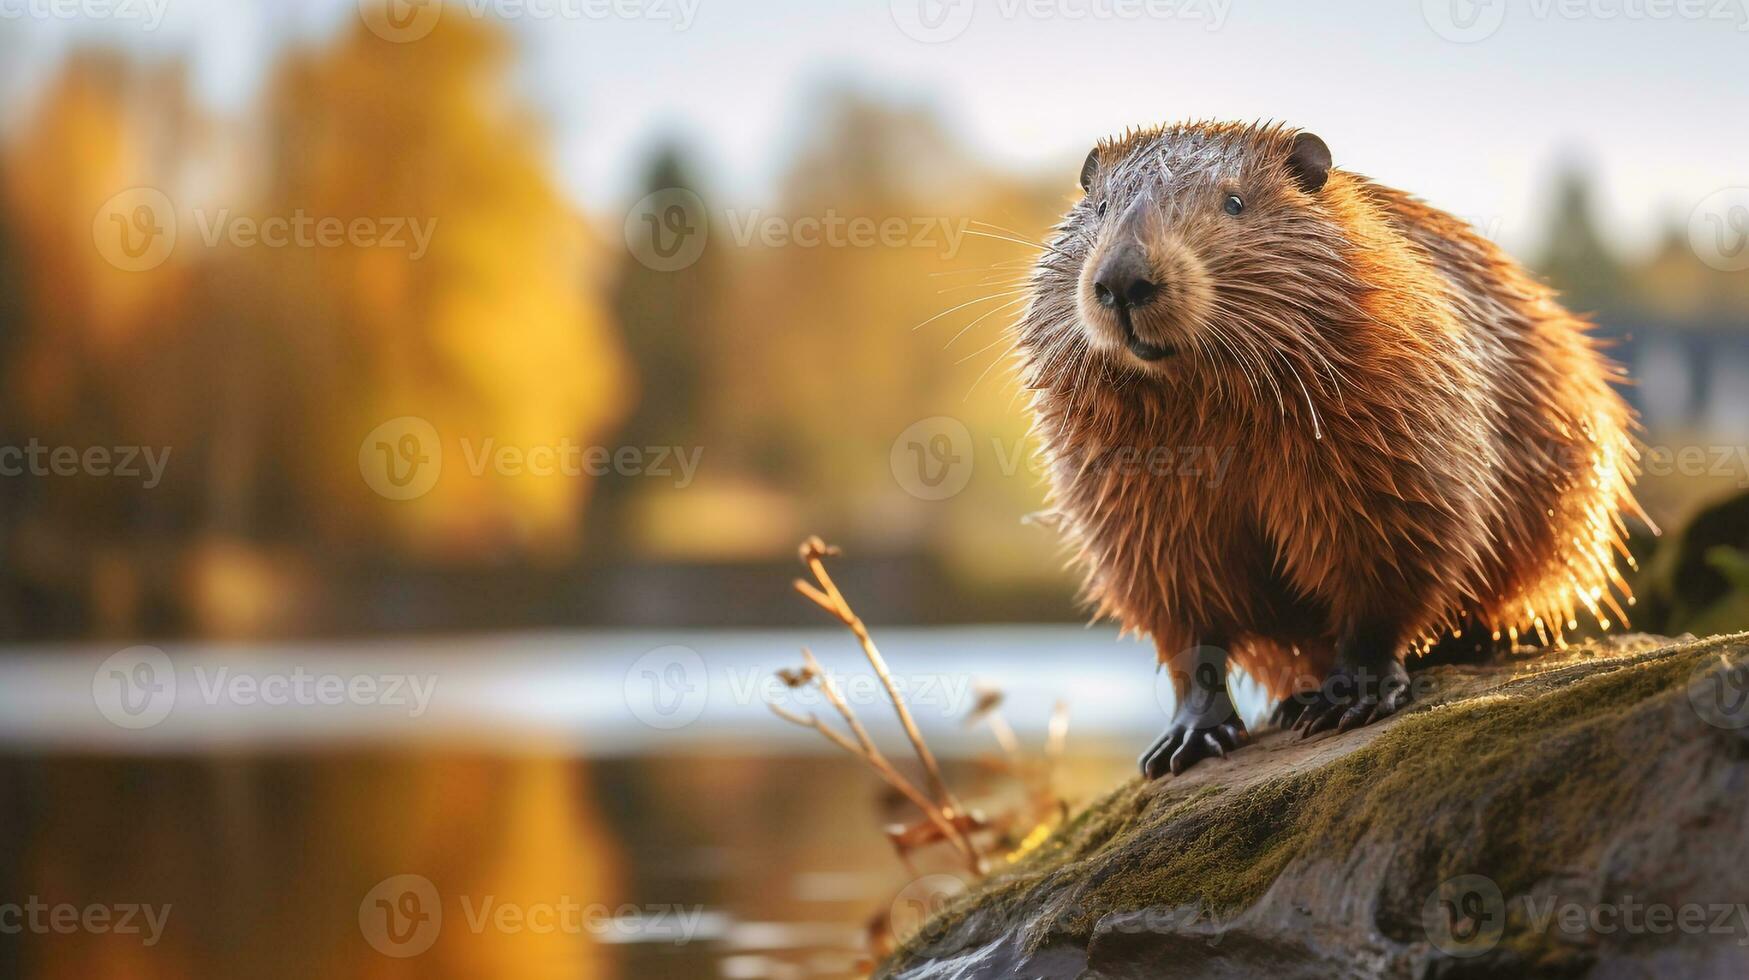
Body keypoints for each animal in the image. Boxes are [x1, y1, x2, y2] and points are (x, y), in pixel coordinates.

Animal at [1021, 122, 1644, 777]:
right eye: (1099, 207)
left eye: (1234, 201)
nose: (1122, 281)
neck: (1205, 400)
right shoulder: (1134, 503)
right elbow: (1182, 614)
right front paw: (1188, 737)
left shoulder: (1397, 438)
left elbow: (1386, 568)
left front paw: (1352, 697)